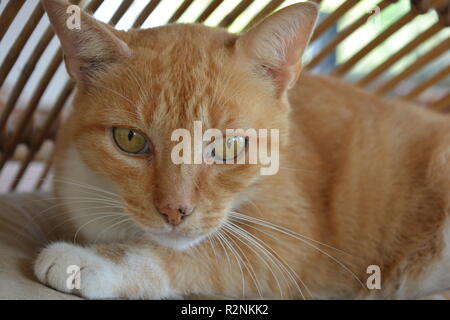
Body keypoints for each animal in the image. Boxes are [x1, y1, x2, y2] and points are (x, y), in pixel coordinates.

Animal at [35, 0, 450, 300]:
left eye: (229, 146)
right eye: (130, 139)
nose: (174, 210)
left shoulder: (284, 244)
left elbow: (196, 255)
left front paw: (88, 262)